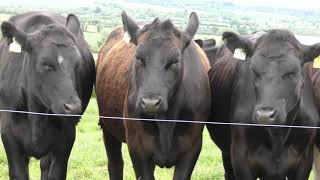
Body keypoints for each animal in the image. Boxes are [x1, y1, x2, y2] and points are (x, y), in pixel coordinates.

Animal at [0, 11, 95, 180]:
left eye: (77, 64)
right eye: (45, 63)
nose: (73, 107)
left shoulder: (66, 139)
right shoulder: (8, 136)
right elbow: (19, 173)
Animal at [97, 11, 212, 179]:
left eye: (176, 60)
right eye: (138, 57)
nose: (150, 102)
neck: (166, 121)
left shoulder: (192, 147)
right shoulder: (137, 147)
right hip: (107, 127)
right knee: (115, 164)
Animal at [208, 30, 320, 179]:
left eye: (292, 72)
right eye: (253, 70)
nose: (264, 115)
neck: (278, 136)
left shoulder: (304, 160)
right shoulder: (241, 159)